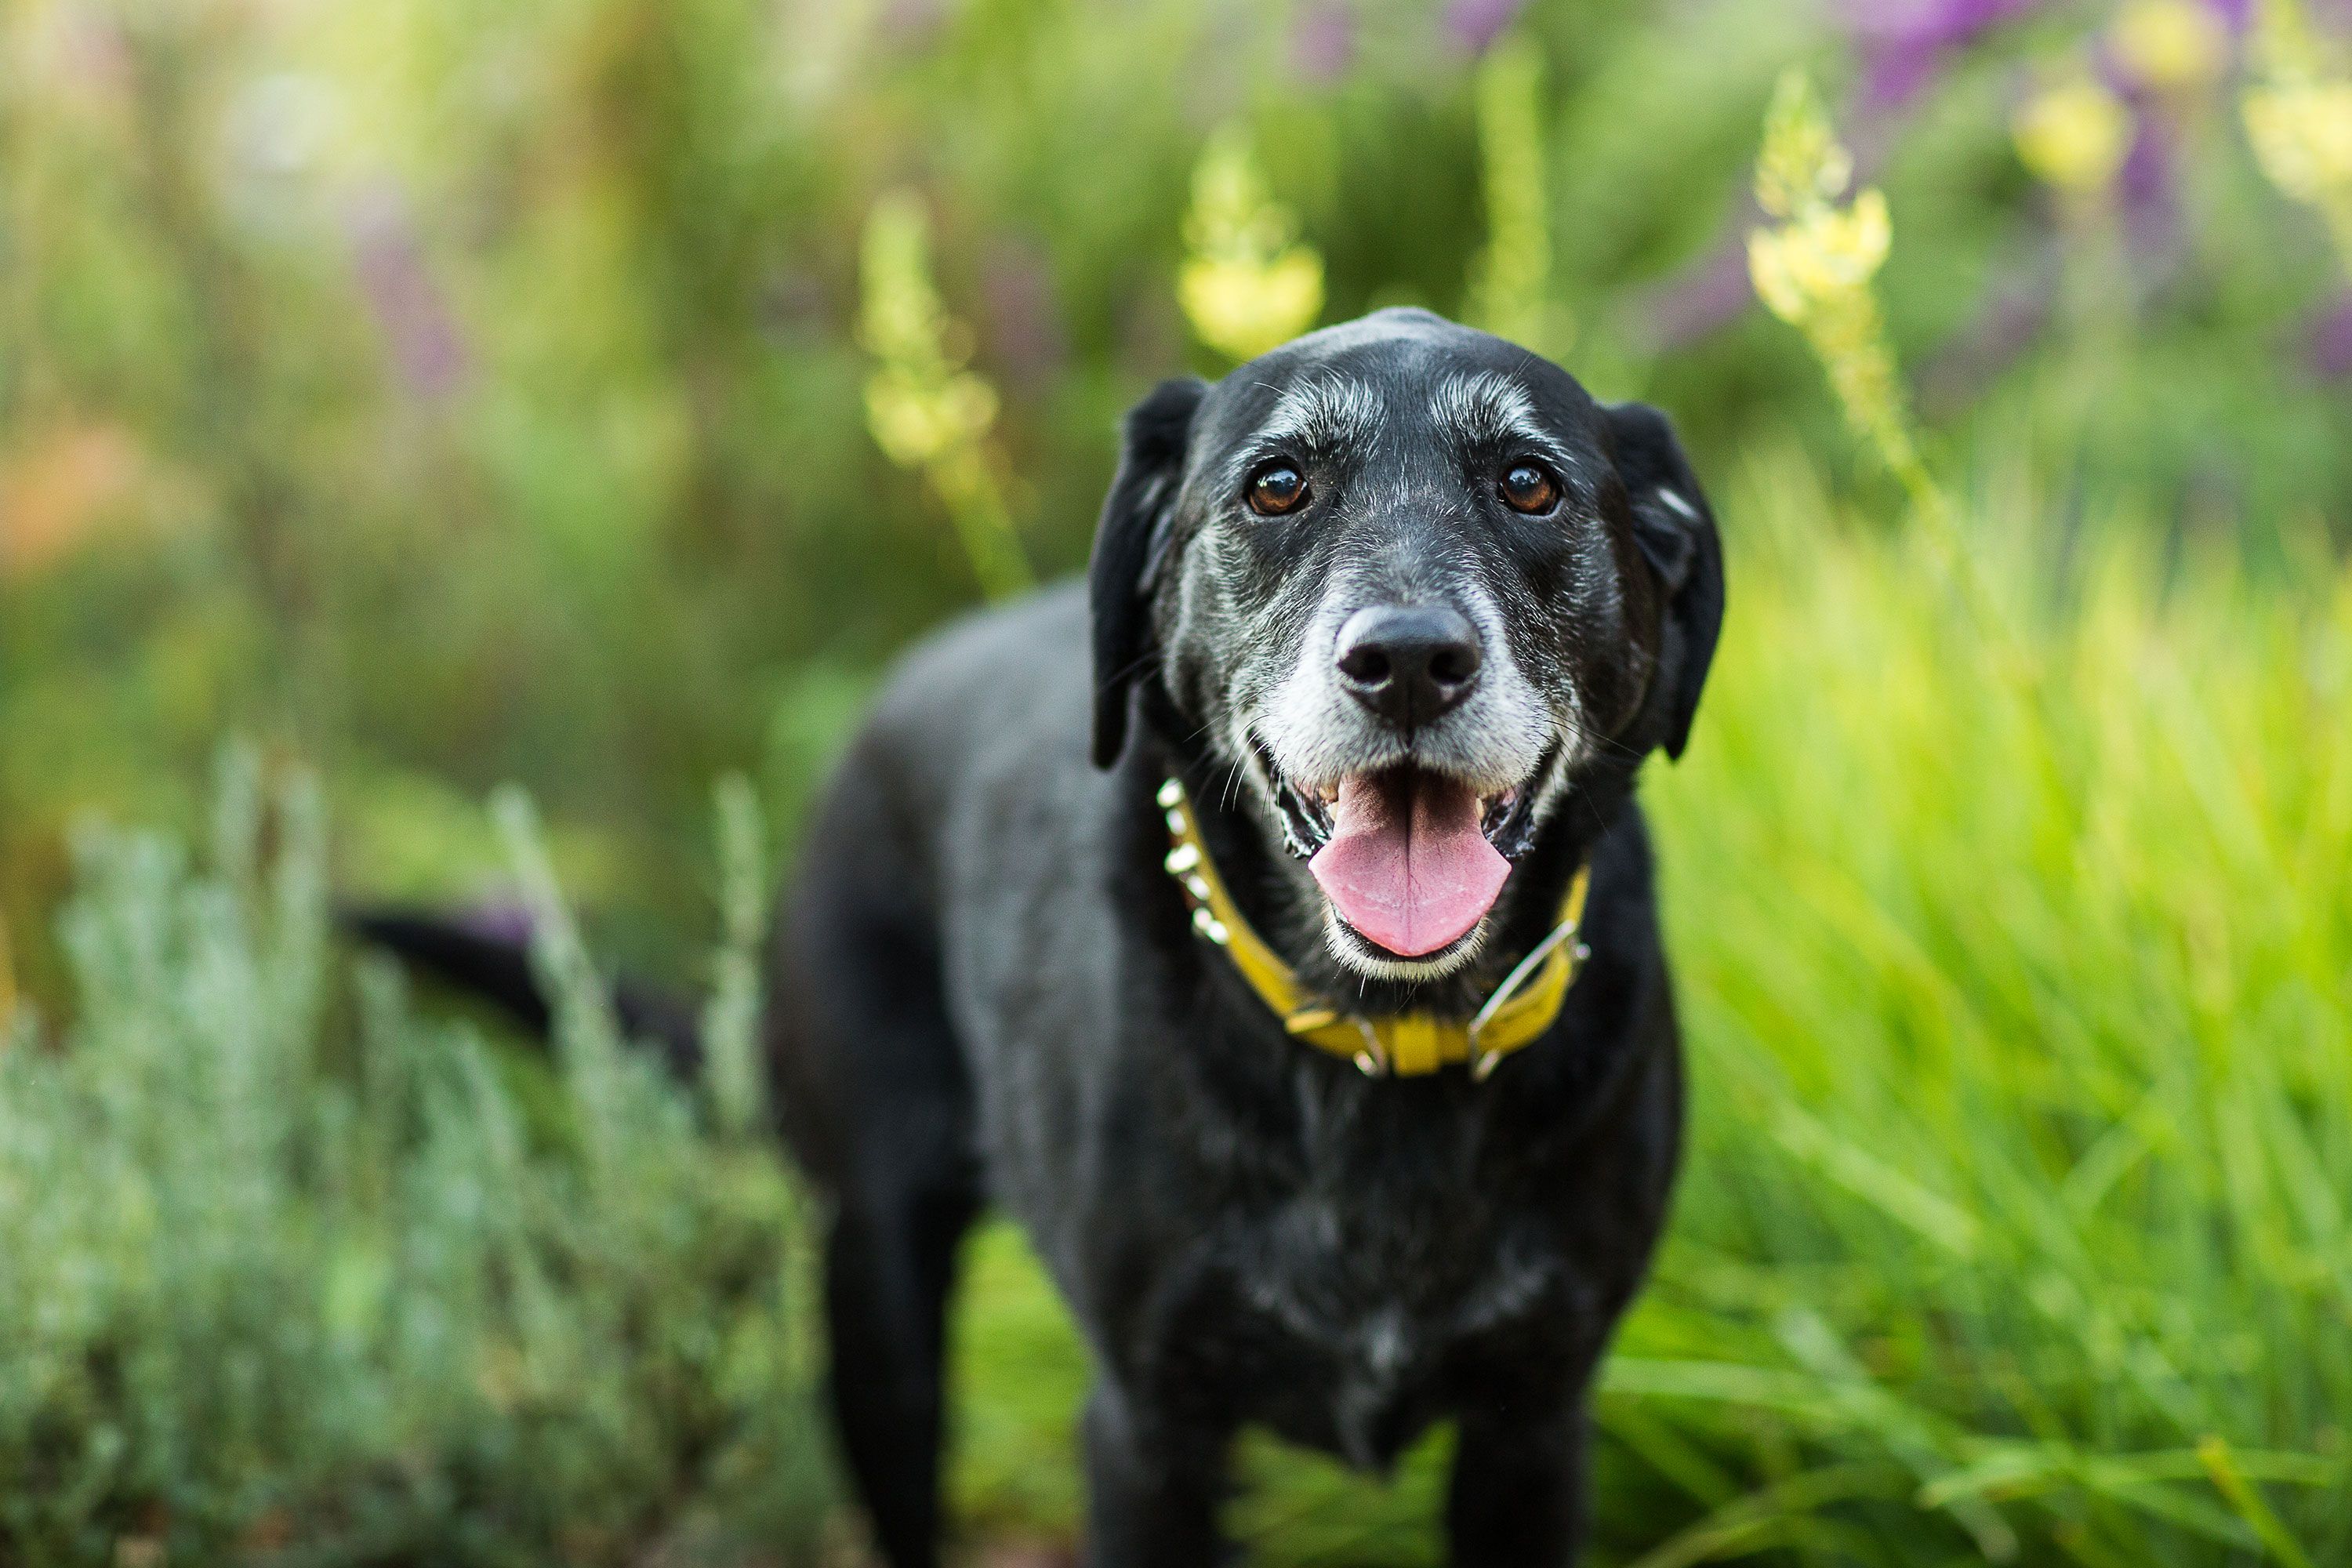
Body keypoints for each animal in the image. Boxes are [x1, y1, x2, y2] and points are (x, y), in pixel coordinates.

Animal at [372, 310, 1731, 1568]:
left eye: (1529, 481)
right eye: (1278, 484)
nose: (1405, 661)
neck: (1385, 1038)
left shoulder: (1534, 1425)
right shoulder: (1145, 1426)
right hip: (876, 1299)